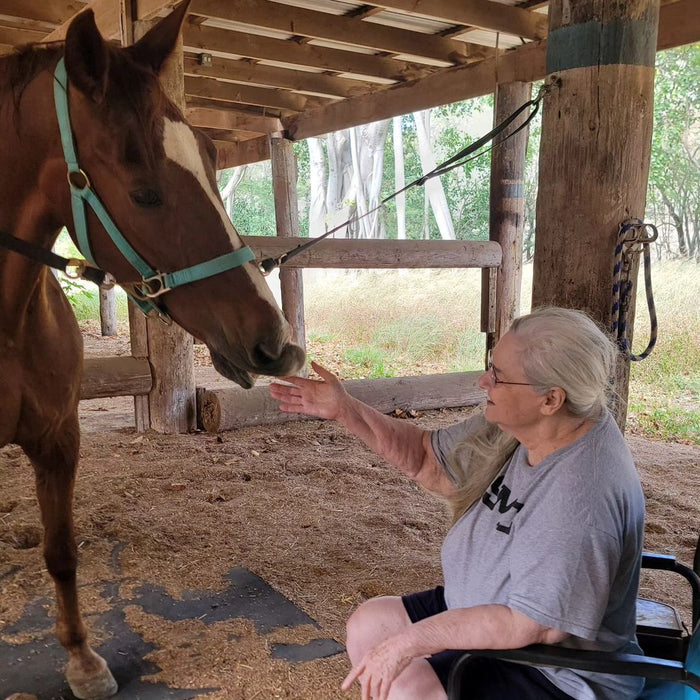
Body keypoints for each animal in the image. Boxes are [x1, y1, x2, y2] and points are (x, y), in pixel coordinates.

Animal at [0, 2, 304, 696]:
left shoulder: (58, 439)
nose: (276, 345)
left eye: (213, 155)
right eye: (142, 189)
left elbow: (62, 551)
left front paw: (84, 660)